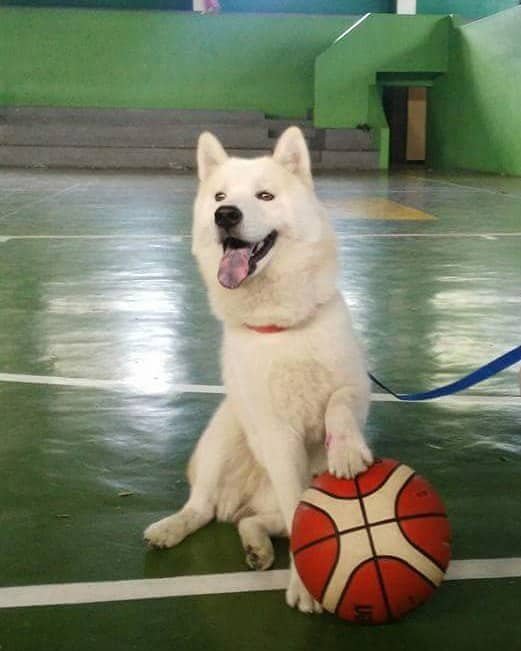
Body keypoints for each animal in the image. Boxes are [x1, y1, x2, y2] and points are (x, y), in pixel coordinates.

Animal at [145, 126, 374, 612]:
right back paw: (174, 528)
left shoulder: (356, 386)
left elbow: (339, 405)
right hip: (224, 435)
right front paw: (304, 585)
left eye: (265, 195)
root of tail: (245, 502)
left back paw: (256, 543)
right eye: (219, 196)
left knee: (259, 522)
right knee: (207, 508)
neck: (280, 326)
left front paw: (345, 451)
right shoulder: (276, 434)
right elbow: (301, 513)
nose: (225, 215)